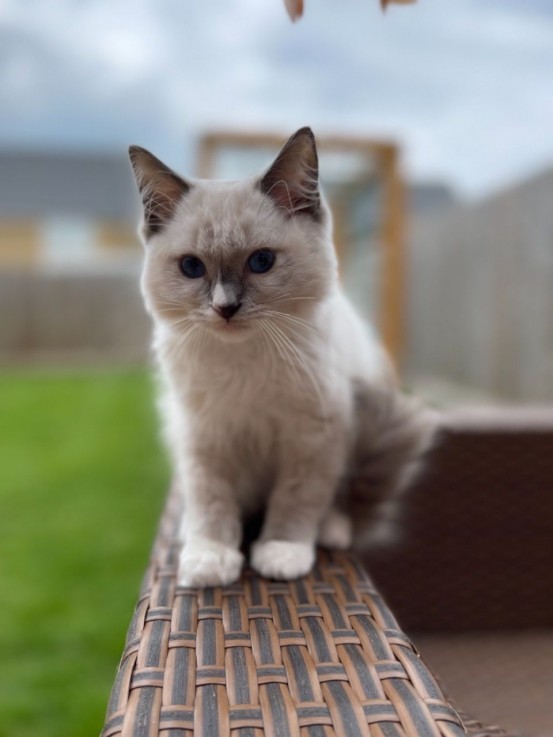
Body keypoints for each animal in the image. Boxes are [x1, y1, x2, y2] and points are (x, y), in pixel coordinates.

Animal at [129, 128, 436, 588]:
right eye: (191, 267)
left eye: (261, 262)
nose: (225, 308)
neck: (243, 361)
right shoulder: (203, 438)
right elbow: (211, 503)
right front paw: (211, 558)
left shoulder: (313, 436)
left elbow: (296, 500)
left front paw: (281, 553)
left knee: (340, 503)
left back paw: (332, 531)